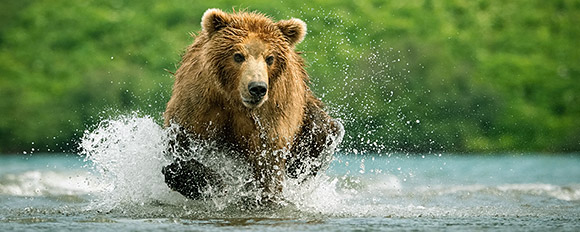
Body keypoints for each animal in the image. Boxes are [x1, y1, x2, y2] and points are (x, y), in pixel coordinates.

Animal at [161, 8, 342, 201]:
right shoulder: (199, 103)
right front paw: (210, 181)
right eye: (238, 56)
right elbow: (180, 146)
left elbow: (267, 168)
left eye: (270, 58)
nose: (257, 88)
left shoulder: (270, 117)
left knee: (324, 132)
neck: (234, 99)